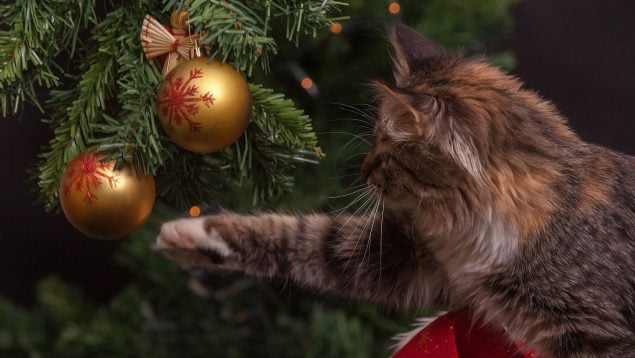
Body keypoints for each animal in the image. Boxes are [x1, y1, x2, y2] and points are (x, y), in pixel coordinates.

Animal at [155, 23, 635, 356]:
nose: (363, 168)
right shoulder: (407, 255)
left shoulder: (597, 332)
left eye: (386, 151)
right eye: (373, 142)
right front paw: (193, 235)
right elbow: (298, 236)